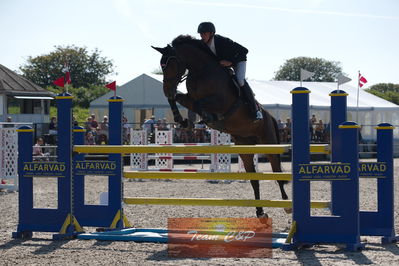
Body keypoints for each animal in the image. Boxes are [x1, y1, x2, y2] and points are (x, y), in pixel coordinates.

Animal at [152, 34, 288, 218]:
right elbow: (179, 99)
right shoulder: (189, 97)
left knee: (277, 171)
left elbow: (200, 103)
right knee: (254, 179)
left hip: (269, 143)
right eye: (162, 66)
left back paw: (287, 205)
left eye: (171, 65)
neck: (201, 70)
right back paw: (260, 212)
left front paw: (206, 117)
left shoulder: (221, 101)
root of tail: (271, 117)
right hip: (245, 147)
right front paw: (184, 120)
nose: (166, 89)